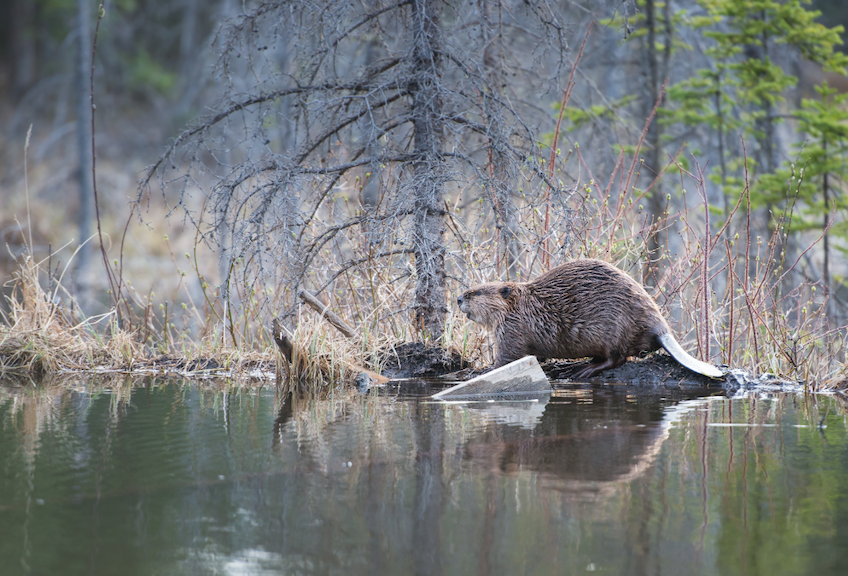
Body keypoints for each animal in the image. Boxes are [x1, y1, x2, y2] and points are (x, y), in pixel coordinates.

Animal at [458, 260, 724, 378]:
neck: (524, 305)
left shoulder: (512, 328)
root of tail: (661, 330)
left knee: (618, 358)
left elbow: (508, 357)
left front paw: (484, 370)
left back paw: (582, 370)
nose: (459, 298)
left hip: (613, 330)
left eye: (475, 292)